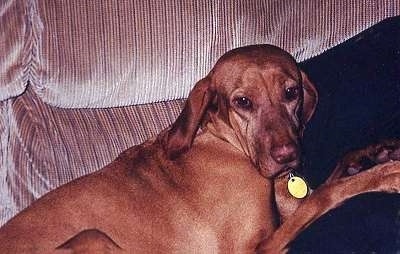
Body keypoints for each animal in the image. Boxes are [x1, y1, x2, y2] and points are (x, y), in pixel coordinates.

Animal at [0, 44, 398, 253]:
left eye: (291, 92)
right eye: (242, 102)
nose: (287, 157)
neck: (223, 141)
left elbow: (328, 182)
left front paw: (374, 154)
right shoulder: (254, 249)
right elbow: (325, 197)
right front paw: (386, 174)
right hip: (91, 237)